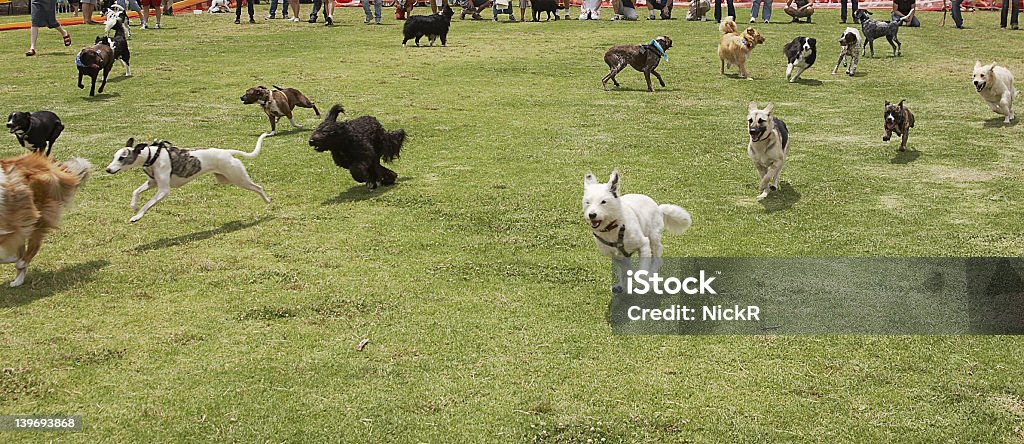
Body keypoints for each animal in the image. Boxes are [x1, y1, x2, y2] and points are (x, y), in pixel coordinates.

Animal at [0, 152, 92, 288]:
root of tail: (47, 164)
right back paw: (18, 279)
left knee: (32, 247)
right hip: (24, 221)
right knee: (23, 251)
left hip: (36, 217)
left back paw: (20, 264)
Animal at [104, 131, 272, 222]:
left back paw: (267, 200)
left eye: (122, 158)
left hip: (238, 178)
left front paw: (137, 216)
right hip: (225, 179)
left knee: (258, 187)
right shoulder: (152, 183)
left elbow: (148, 204)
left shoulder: (163, 190)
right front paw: (134, 205)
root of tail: (227, 152)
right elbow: (136, 191)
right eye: (114, 156)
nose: (108, 169)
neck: (153, 155)